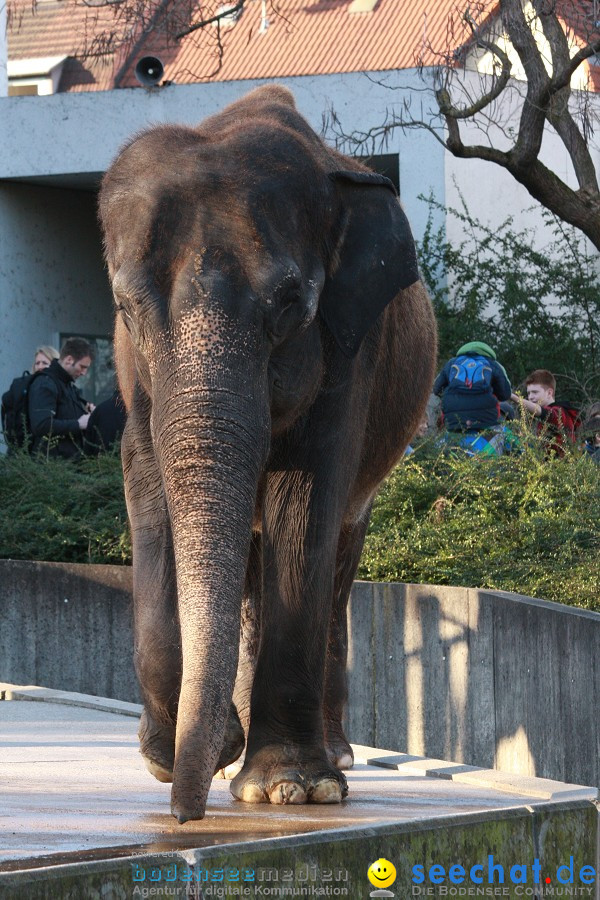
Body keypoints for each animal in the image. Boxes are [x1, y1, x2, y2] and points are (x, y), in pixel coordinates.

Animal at [98, 86, 436, 824]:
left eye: (290, 305)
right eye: (127, 307)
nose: (184, 818)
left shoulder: (349, 347)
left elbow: (306, 502)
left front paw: (292, 788)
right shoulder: (133, 380)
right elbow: (148, 486)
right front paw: (184, 754)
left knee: (336, 562)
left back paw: (329, 762)